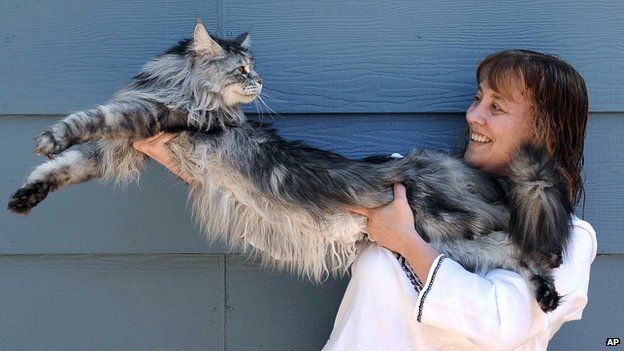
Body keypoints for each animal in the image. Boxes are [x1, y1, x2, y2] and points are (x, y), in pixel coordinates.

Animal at [8, 19, 572, 312]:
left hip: (454, 225)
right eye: (242, 69)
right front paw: (25, 195)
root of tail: (448, 167)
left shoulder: (152, 118)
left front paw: (47, 136)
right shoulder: (119, 148)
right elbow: (65, 168)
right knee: (519, 257)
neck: (178, 85)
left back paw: (549, 284)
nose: (259, 82)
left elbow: (91, 119)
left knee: (529, 239)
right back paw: (547, 296)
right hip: (457, 246)